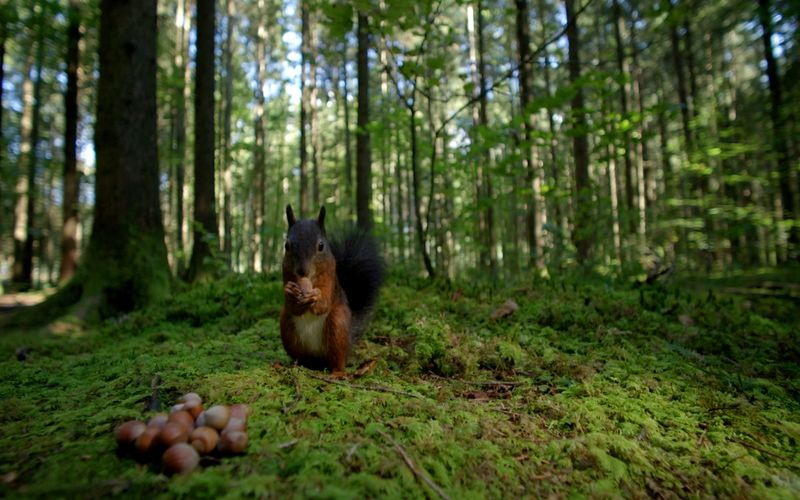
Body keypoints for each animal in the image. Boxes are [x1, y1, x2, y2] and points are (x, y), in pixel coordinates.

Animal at [280, 205, 386, 376]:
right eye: (286, 246)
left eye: (321, 246)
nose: (302, 271)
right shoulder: (286, 275)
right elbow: (292, 307)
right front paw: (290, 290)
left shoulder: (330, 280)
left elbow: (323, 304)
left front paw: (315, 295)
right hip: (286, 325)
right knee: (300, 357)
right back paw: (291, 366)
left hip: (338, 325)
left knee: (338, 359)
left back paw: (337, 373)